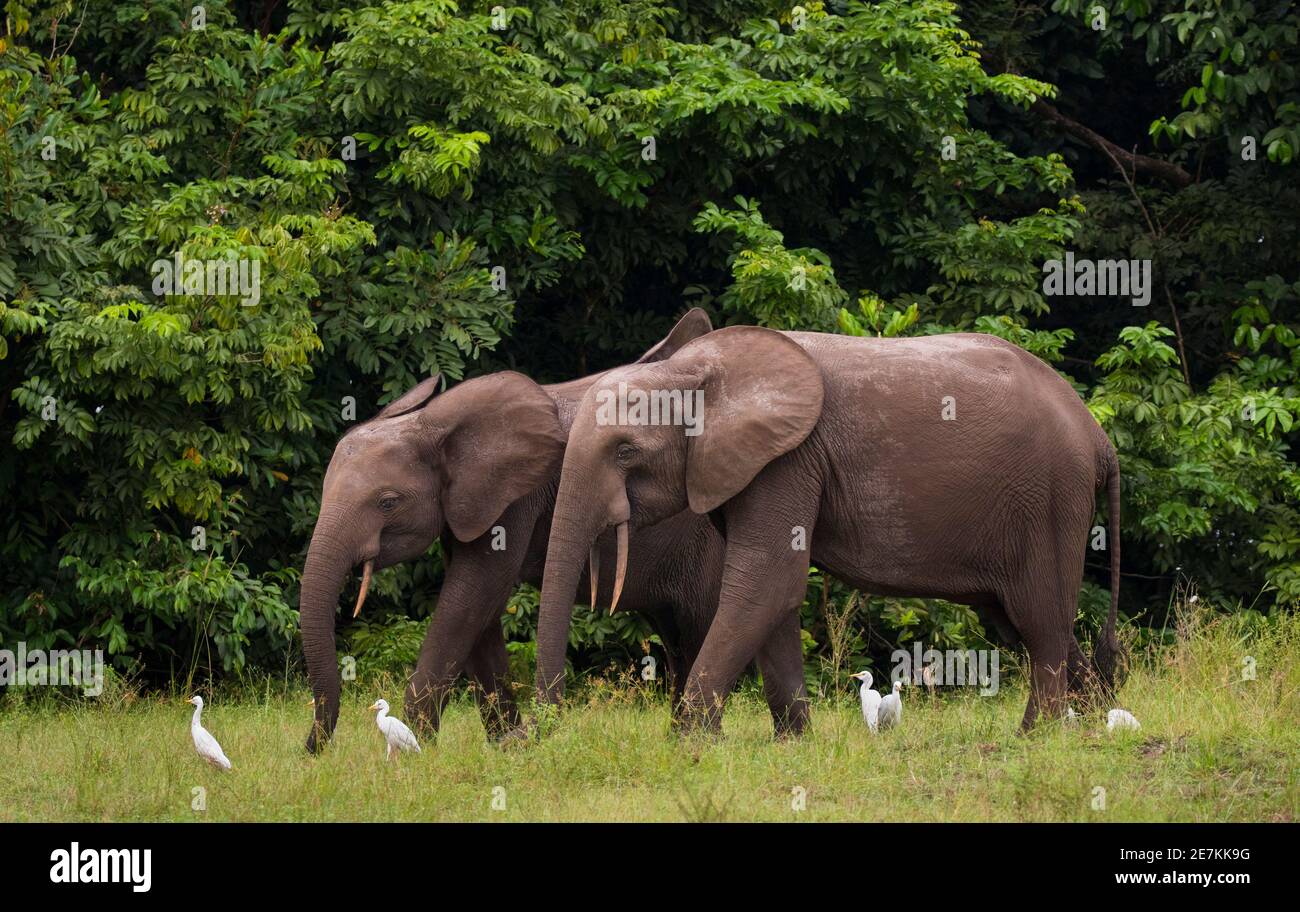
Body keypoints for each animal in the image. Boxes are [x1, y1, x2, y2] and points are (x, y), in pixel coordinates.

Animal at [302, 310, 800, 753]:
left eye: (387, 502)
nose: (313, 749)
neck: (436, 423)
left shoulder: (516, 499)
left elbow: (470, 597)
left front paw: (423, 744)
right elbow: (477, 614)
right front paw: (504, 746)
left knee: (696, 628)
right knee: (678, 638)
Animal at [533, 328, 1123, 737]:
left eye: (625, 451)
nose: (549, 731)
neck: (697, 368)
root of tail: (1098, 436)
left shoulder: (787, 460)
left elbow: (765, 585)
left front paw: (688, 742)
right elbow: (772, 597)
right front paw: (793, 742)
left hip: (1050, 500)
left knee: (1041, 621)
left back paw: (1035, 737)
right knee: (1031, 622)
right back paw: (1096, 722)